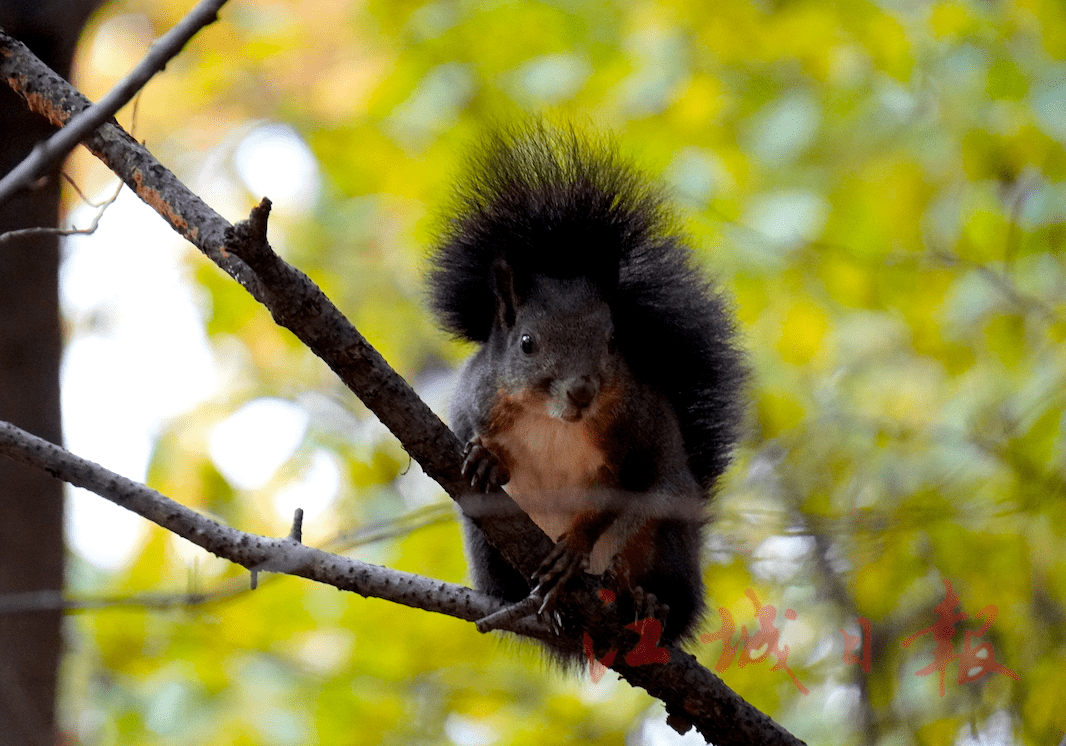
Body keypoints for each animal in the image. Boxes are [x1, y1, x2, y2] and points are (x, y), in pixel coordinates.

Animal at [428, 125, 746, 656]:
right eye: (526, 343)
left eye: (615, 341)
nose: (581, 390)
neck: (552, 420)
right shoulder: (475, 396)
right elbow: (469, 430)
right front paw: (489, 458)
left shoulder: (637, 436)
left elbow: (620, 490)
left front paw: (574, 546)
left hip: (668, 536)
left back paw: (644, 601)